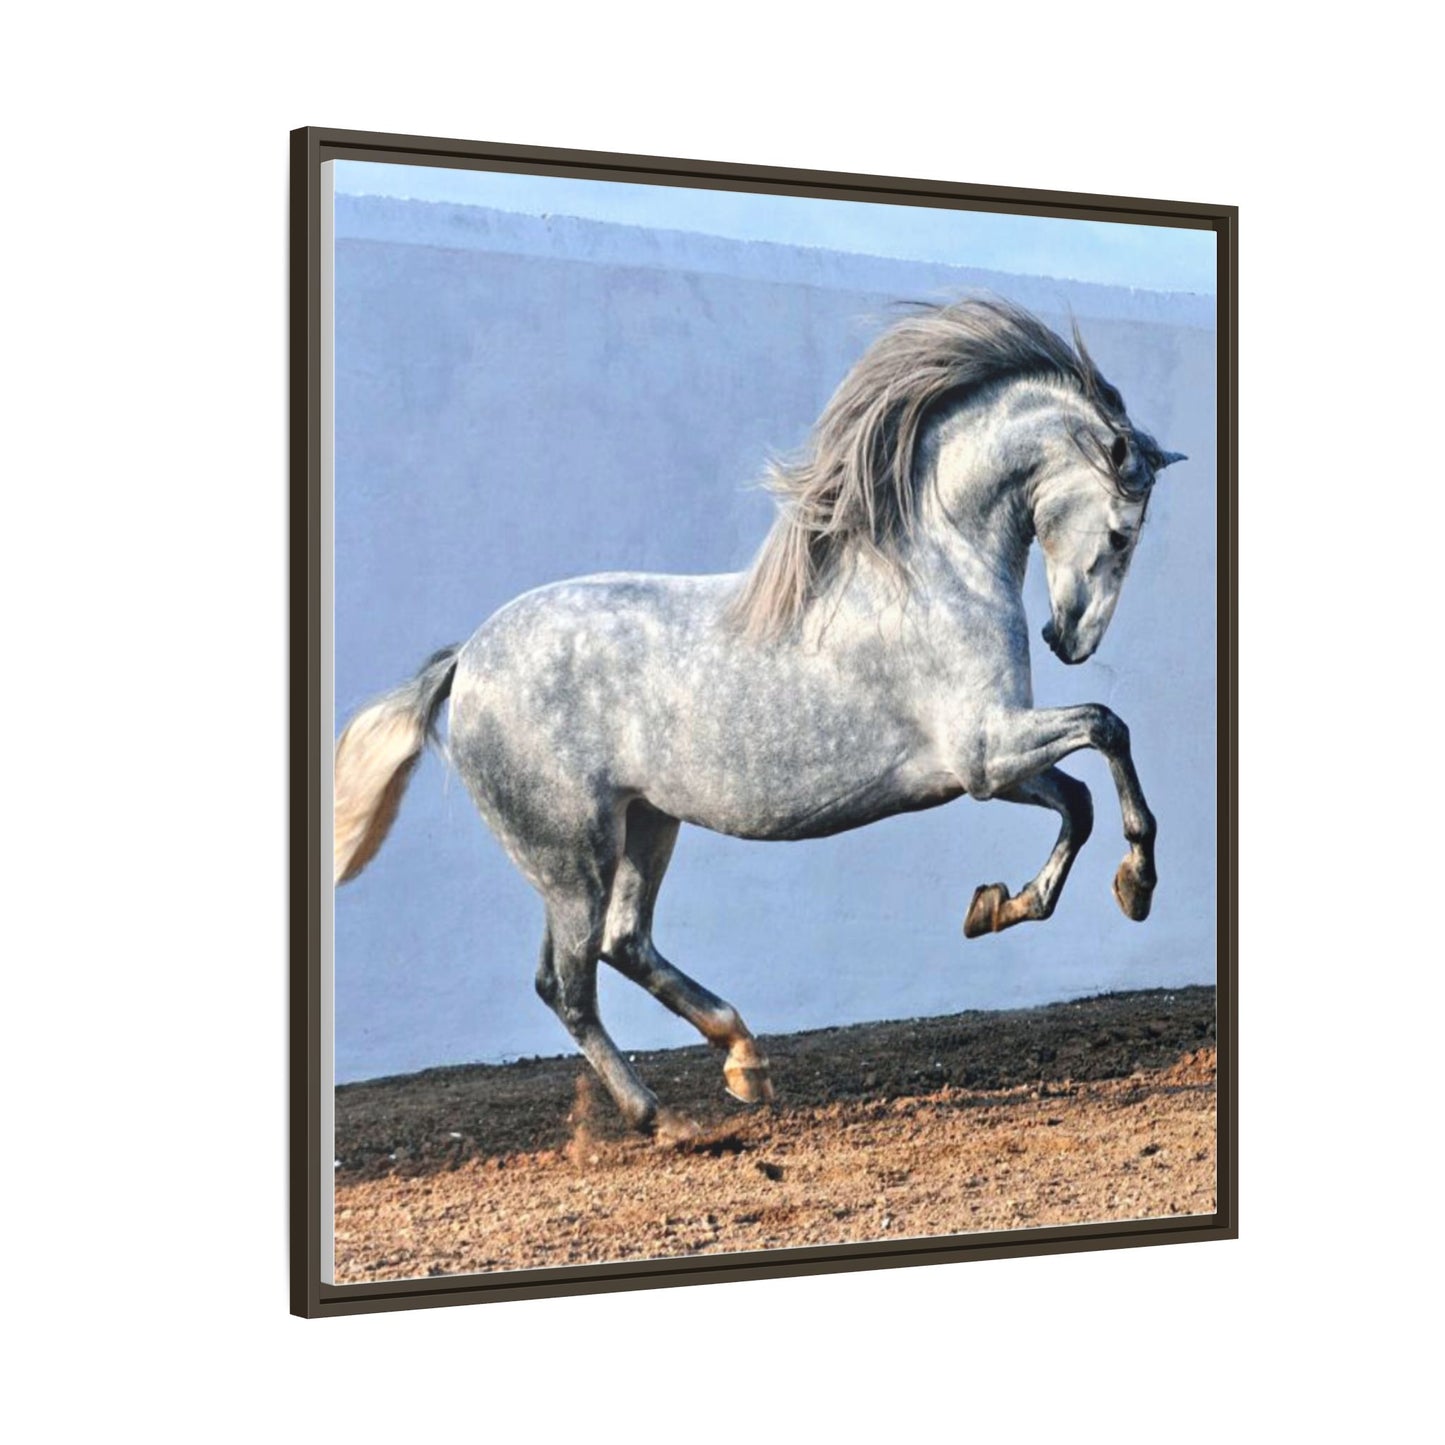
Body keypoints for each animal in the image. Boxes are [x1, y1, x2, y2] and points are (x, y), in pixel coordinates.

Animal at [332, 297, 1186, 1142]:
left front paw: (1000, 906)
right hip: (569, 853)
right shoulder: (984, 750)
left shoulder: (979, 763)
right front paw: (1136, 884)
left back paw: (743, 1057)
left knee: (622, 942)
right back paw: (658, 1114)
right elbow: (1108, 729)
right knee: (567, 984)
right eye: (1121, 532)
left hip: (641, 826)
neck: (931, 572)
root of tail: (465, 662)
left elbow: (1077, 798)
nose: (1068, 639)